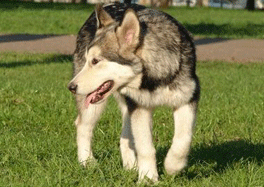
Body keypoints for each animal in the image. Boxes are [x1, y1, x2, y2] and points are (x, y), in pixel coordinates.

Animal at [68, 2, 200, 182]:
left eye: (95, 61)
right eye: (88, 60)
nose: (71, 87)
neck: (153, 79)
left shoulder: (187, 99)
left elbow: (183, 140)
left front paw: (172, 166)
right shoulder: (139, 107)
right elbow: (145, 148)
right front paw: (148, 178)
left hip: (126, 107)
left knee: (124, 138)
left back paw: (130, 166)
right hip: (95, 107)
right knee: (82, 126)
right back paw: (87, 162)